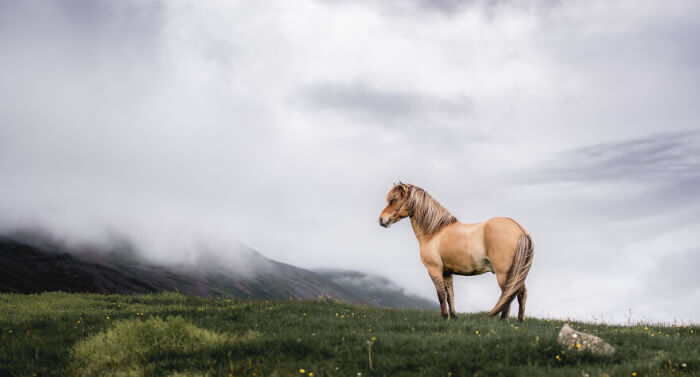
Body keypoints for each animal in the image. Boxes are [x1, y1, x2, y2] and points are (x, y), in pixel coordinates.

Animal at [378, 182, 536, 320]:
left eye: (394, 199)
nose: (381, 220)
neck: (434, 231)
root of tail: (520, 229)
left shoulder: (434, 269)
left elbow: (441, 295)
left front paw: (444, 317)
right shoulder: (447, 272)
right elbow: (450, 295)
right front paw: (453, 316)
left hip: (504, 272)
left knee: (508, 293)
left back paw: (503, 320)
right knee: (521, 293)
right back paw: (520, 321)